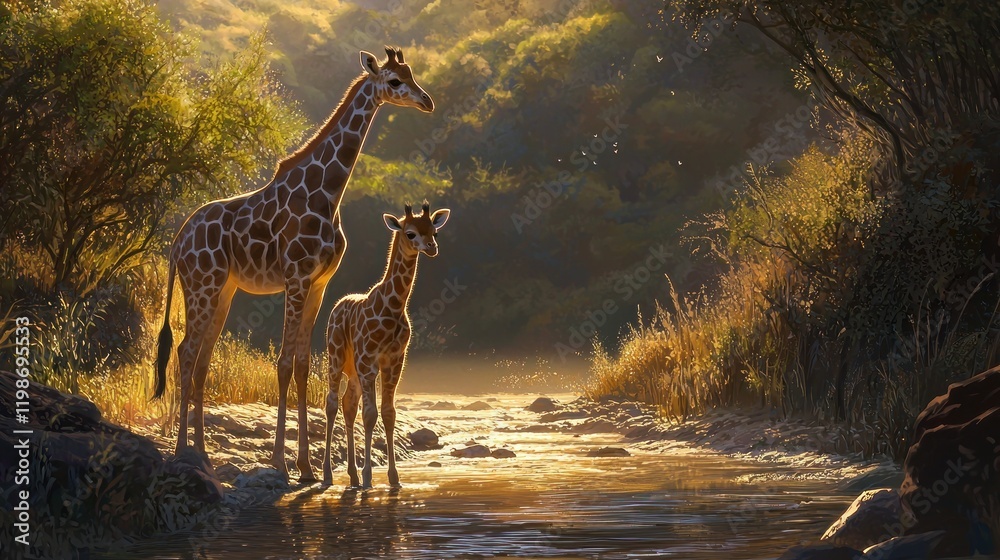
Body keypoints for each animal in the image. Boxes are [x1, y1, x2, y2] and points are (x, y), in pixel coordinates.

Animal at [152, 47, 434, 482]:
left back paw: (202, 453)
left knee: (201, 360)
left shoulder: (320, 282)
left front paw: (307, 466)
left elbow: (302, 365)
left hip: (223, 290)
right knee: (185, 352)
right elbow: (284, 363)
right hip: (202, 284)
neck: (327, 194)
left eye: (412, 74)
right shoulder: (296, 276)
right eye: (394, 81)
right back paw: (184, 449)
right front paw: (282, 463)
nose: (427, 101)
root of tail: (177, 244)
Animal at [322, 202, 450, 488]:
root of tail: (337, 306)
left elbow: (389, 413)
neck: (393, 307)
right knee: (332, 403)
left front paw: (394, 478)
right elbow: (370, 415)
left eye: (434, 231)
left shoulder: (394, 360)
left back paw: (352, 475)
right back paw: (327, 475)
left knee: (348, 404)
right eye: (410, 233)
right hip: (336, 357)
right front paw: (370, 477)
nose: (432, 248)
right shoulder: (369, 360)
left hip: (354, 370)